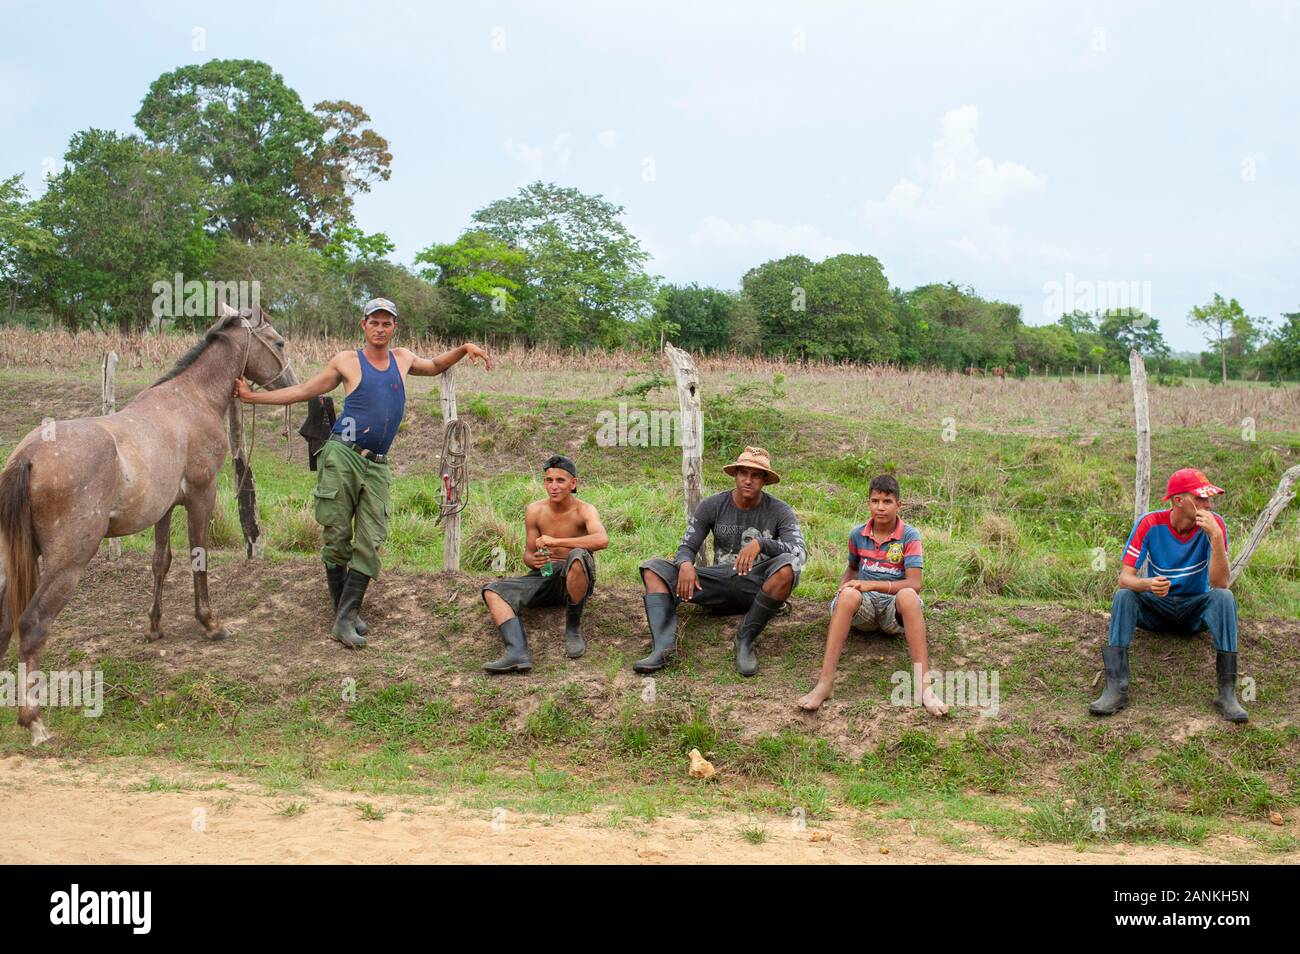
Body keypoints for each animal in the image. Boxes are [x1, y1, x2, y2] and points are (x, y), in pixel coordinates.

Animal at [0, 306, 297, 748]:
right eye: (277, 341)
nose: (292, 384)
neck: (191, 400)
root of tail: (29, 455)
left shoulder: (164, 509)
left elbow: (161, 562)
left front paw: (155, 627)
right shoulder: (201, 497)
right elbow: (198, 559)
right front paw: (210, 624)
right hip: (66, 565)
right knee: (32, 626)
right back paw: (34, 721)